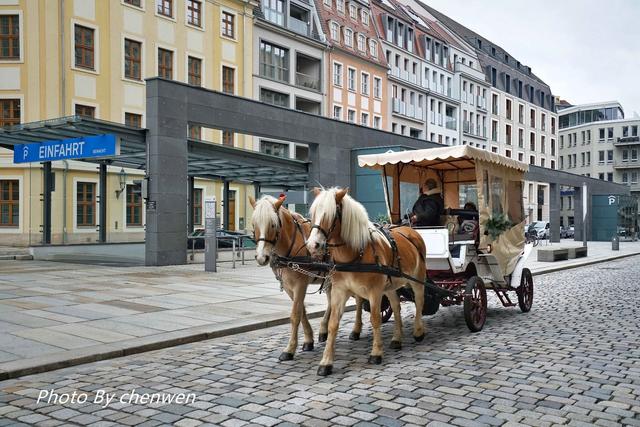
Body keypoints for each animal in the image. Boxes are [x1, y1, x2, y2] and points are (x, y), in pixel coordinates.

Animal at [251, 196, 370, 362]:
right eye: (253, 224)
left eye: (273, 224)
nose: (262, 257)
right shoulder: (289, 287)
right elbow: (301, 311)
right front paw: (308, 340)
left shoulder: (300, 284)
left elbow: (295, 314)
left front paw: (290, 349)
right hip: (331, 279)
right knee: (331, 302)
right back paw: (324, 330)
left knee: (358, 300)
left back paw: (356, 330)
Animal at [306, 189, 428, 376]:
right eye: (312, 214)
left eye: (331, 214)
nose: (313, 245)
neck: (354, 254)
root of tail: (410, 230)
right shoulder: (339, 291)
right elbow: (334, 323)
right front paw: (326, 362)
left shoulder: (374, 291)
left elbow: (375, 319)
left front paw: (376, 353)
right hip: (390, 285)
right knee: (396, 306)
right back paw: (397, 338)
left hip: (418, 279)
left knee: (420, 302)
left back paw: (418, 331)